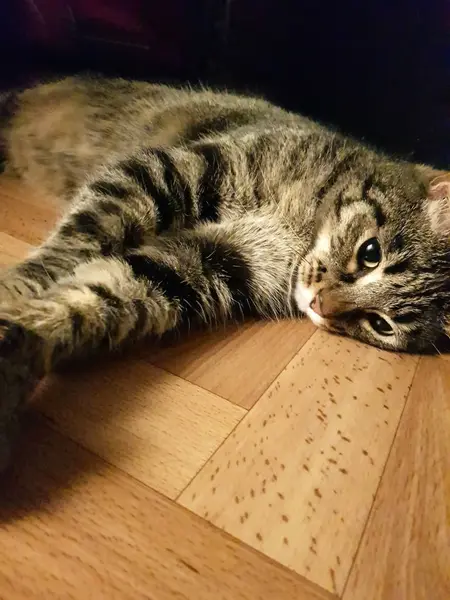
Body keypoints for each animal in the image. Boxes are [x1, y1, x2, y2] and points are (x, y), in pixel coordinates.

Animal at [0, 76, 450, 468]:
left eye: (381, 325)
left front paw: (21, 348)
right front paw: (13, 292)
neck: (301, 232)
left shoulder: (207, 264)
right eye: (371, 253)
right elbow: (70, 246)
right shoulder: (176, 171)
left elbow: (95, 299)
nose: (322, 305)